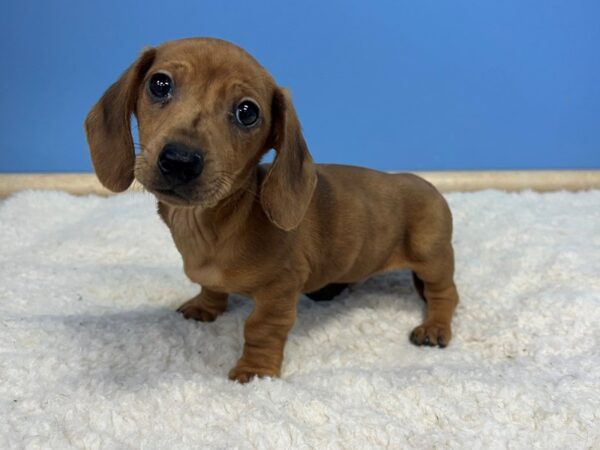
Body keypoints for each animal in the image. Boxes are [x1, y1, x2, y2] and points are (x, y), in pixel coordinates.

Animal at [84, 37, 460, 384]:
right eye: (159, 84)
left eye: (247, 112)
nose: (180, 161)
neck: (218, 221)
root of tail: (429, 185)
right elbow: (211, 288)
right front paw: (205, 307)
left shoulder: (278, 291)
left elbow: (261, 329)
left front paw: (255, 371)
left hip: (431, 256)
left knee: (445, 293)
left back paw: (435, 326)